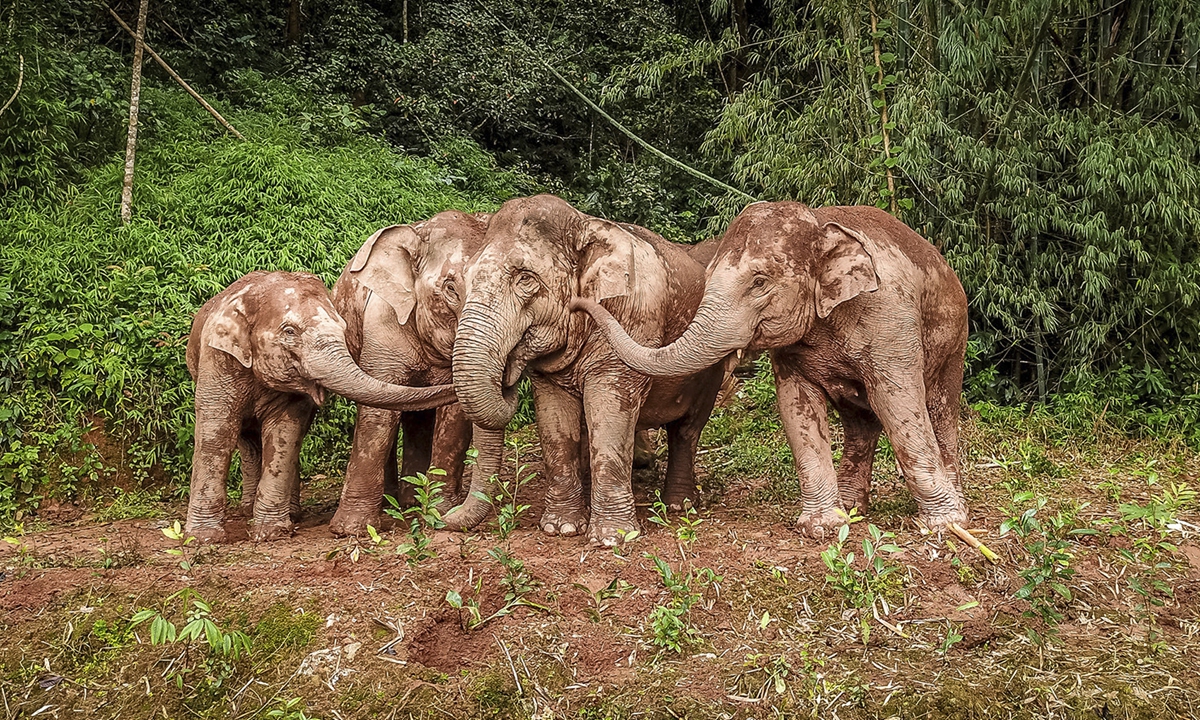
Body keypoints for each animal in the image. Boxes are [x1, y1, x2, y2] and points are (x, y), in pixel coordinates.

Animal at [185, 270, 457, 544]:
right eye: (289, 331)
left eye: (344, 329)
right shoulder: (216, 358)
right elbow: (216, 433)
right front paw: (203, 538)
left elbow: (284, 433)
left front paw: (271, 533)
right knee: (246, 440)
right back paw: (247, 510)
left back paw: (288, 515)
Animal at [328, 212, 504, 536]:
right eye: (450, 288)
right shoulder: (381, 325)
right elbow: (378, 413)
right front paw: (350, 530)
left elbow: (456, 414)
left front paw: (441, 512)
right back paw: (393, 502)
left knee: (417, 416)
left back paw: (412, 500)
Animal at [451, 194, 729, 546]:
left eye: (525, 278)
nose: (446, 518)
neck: (583, 225)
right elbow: (554, 419)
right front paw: (562, 528)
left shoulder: (634, 316)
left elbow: (609, 407)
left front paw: (613, 538)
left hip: (710, 366)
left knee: (687, 429)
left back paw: (679, 505)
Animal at [573, 202, 970, 537]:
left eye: (759, 281)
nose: (579, 302)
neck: (818, 222)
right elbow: (796, 406)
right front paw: (822, 527)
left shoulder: (889, 316)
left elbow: (899, 403)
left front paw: (943, 525)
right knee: (860, 422)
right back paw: (851, 507)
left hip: (955, 337)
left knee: (939, 408)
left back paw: (952, 503)